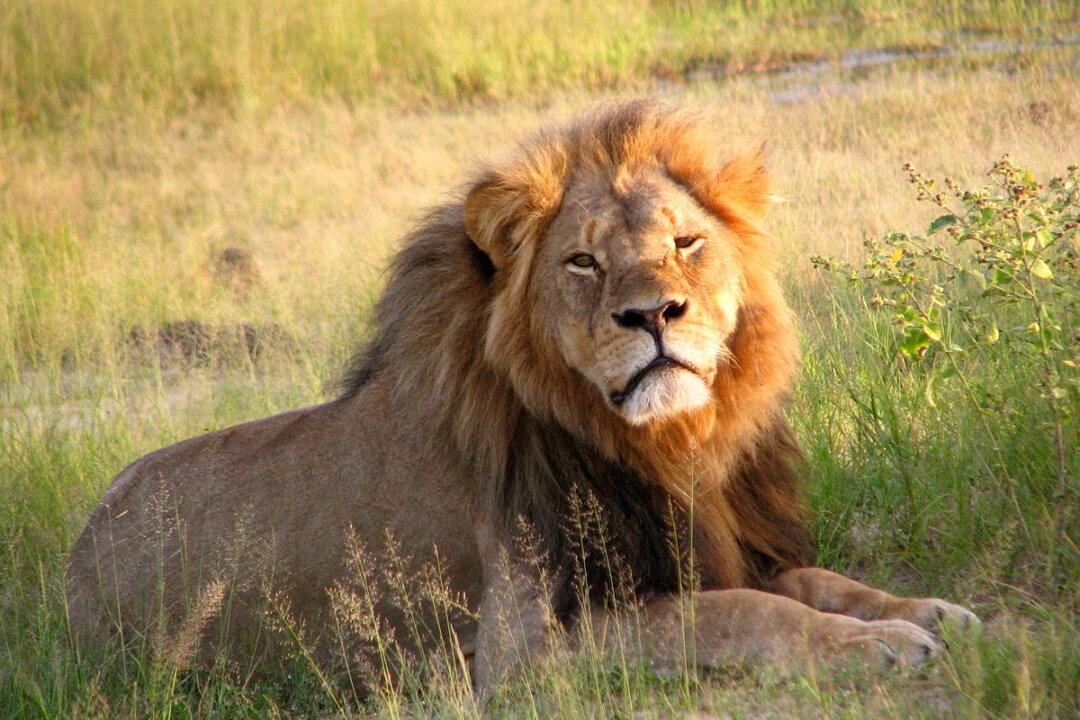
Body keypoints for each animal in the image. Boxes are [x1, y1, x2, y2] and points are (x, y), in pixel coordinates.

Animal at [67, 99, 977, 694]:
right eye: (583, 261)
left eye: (687, 241)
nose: (654, 314)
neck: (668, 444)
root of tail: (72, 559)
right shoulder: (523, 645)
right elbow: (742, 612)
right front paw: (879, 644)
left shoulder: (711, 539)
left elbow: (818, 580)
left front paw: (926, 611)